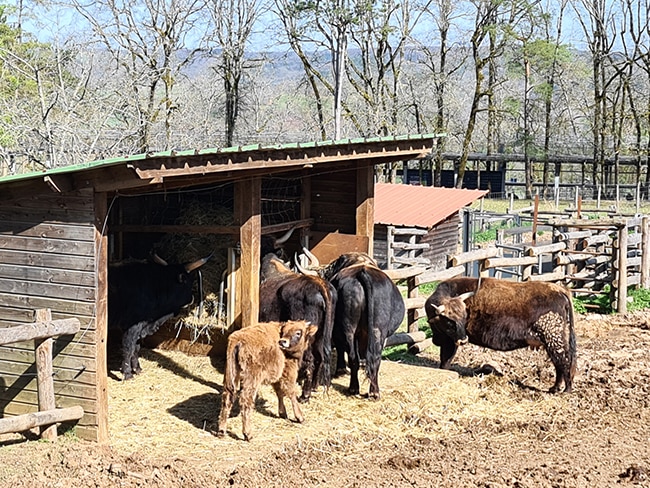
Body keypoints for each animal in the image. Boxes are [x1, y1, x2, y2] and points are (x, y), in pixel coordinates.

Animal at [256, 254, 334, 402]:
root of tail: (319, 285)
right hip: (321, 337)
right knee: (320, 358)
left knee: (310, 361)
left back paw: (305, 395)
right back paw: (314, 386)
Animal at [316, 254, 402, 398]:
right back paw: (372, 391)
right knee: (372, 357)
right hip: (377, 329)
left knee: (354, 357)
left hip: (349, 329)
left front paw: (341, 369)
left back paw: (355, 388)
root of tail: (362, 272)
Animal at [422, 276, 576, 394]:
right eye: (449, 322)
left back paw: (566, 390)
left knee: (564, 362)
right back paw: (555, 388)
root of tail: (560, 291)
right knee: (559, 363)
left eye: (465, 317)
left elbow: (446, 360)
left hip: (553, 339)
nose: (464, 340)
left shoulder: (450, 341)